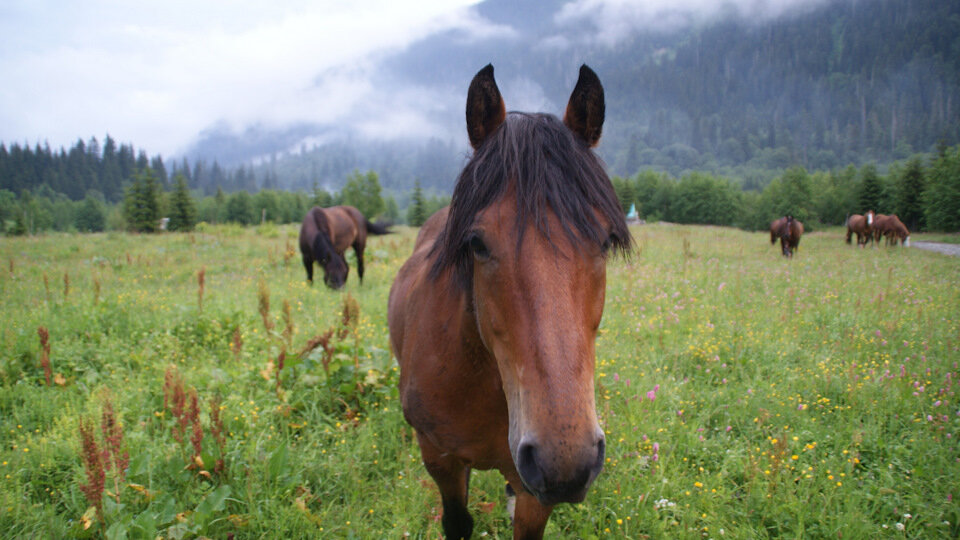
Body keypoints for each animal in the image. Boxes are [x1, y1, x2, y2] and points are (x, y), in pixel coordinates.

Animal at [386, 64, 628, 540]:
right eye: (477, 243)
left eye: (606, 240)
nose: (565, 461)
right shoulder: (439, 459)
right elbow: (457, 521)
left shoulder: (534, 489)